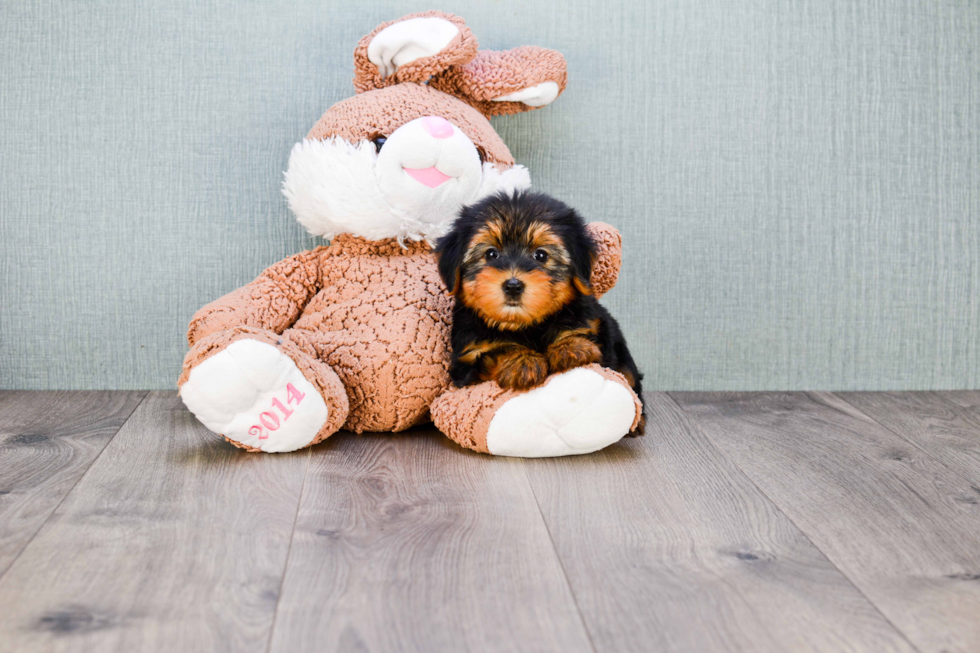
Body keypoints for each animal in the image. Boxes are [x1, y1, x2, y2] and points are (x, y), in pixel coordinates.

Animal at [434, 188, 644, 432]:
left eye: (541, 255)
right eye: (491, 254)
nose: (513, 285)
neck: (525, 325)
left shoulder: (596, 326)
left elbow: (582, 334)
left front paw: (569, 346)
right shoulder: (466, 361)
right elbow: (495, 350)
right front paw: (520, 360)